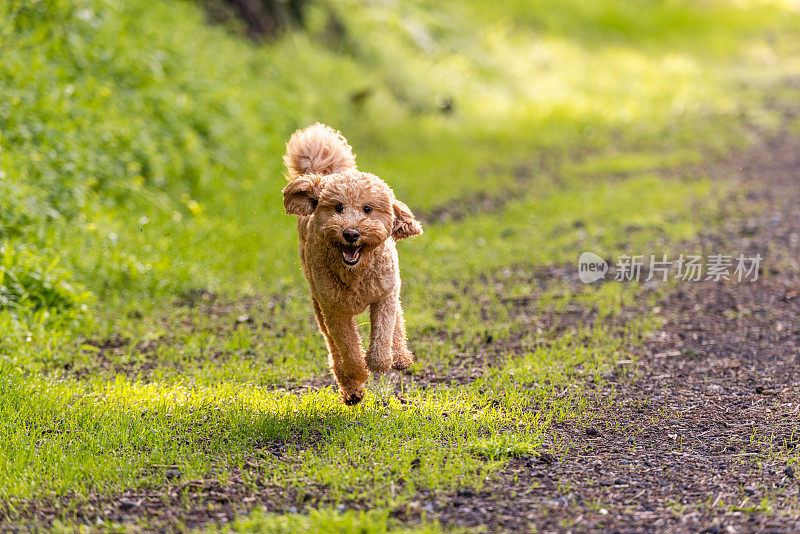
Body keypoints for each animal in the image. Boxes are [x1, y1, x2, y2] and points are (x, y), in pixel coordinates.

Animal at [282, 122, 422, 406]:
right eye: (338, 207)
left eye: (368, 209)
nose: (351, 233)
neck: (356, 272)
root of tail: (326, 172)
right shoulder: (334, 309)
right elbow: (347, 346)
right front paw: (357, 372)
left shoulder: (384, 295)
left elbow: (384, 332)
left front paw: (381, 361)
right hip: (318, 303)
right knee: (333, 348)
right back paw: (350, 389)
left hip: (390, 286)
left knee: (397, 322)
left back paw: (400, 356)